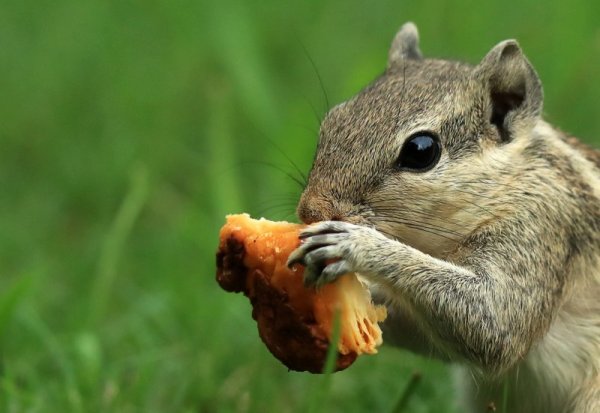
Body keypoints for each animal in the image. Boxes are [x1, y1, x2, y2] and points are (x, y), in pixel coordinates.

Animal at [286, 22, 600, 412]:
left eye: (421, 150)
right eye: (333, 120)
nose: (311, 211)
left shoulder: (542, 230)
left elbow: (494, 323)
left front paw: (355, 245)